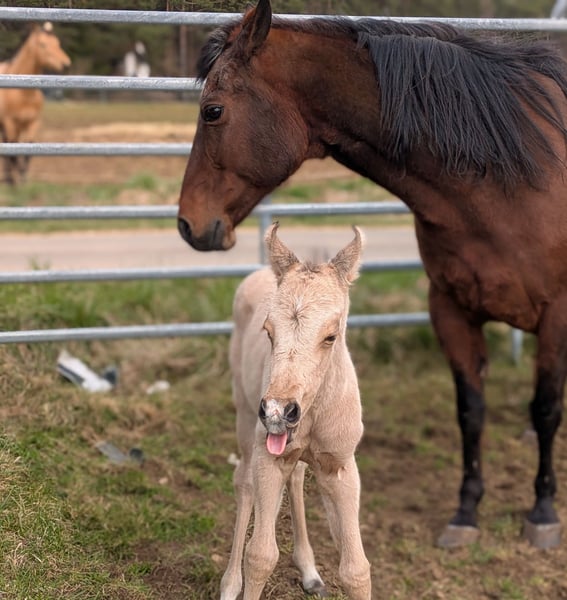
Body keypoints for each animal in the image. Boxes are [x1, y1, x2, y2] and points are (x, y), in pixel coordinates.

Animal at [0, 22, 71, 185]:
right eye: (42, 44)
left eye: (58, 43)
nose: (66, 64)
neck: (23, 93)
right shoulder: (10, 123)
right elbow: (13, 152)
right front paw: (14, 180)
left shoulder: (33, 123)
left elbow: (28, 150)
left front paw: (23, 179)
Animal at [177, 0, 567, 550]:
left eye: (212, 110)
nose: (188, 223)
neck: (513, 181)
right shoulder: (450, 308)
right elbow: (471, 410)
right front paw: (466, 511)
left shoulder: (557, 314)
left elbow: (546, 407)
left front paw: (543, 510)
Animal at [222, 222, 370, 600]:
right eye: (268, 331)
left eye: (331, 336)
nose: (278, 411)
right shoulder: (268, 458)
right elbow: (260, 555)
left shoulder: (341, 466)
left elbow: (356, 570)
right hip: (245, 415)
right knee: (244, 481)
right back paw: (229, 584)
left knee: (298, 475)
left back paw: (309, 570)